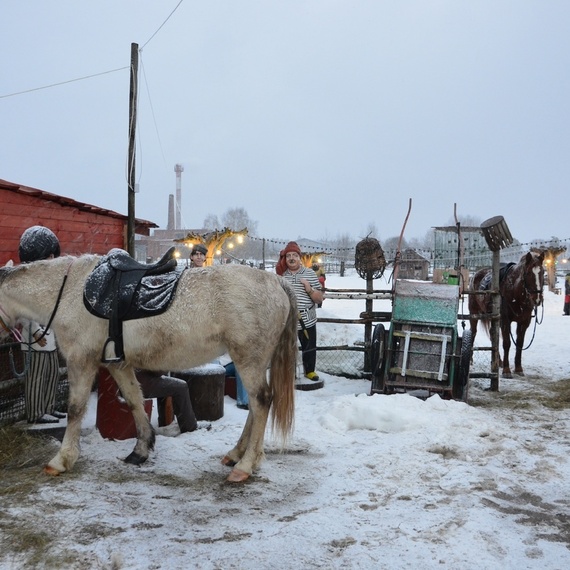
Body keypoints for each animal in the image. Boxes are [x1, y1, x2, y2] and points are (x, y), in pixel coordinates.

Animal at [0, 253, 300, 480]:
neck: (69, 292)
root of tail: (275, 280)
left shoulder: (80, 361)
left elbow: (75, 409)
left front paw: (62, 459)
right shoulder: (118, 364)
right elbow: (134, 400)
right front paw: (141, 449)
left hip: (249, 359)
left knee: (261, 401)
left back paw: (246, 465)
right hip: (253, 361)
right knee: (256, 405)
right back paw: (236, 454)